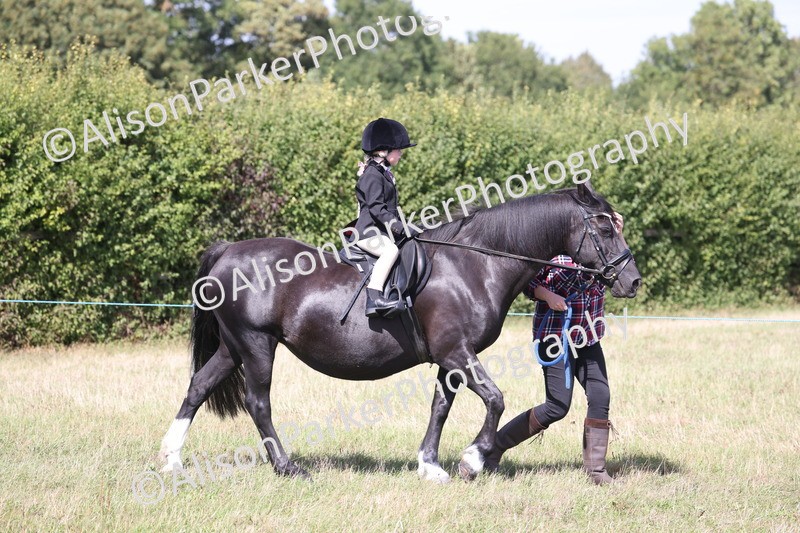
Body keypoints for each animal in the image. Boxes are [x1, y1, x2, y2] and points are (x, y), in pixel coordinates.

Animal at [158, 182, 641, 483]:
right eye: (603, 226)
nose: (632, 281)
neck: (474, 264)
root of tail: (228, 251)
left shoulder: (450, 357)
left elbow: (440, 408)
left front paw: (430, 465)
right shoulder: (456, 352)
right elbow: (495, 399)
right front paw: (472, 459)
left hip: (233, 346)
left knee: (199, 387)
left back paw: (170, 459)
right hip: (257, 344)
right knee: (258, 402)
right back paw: (286, 467)